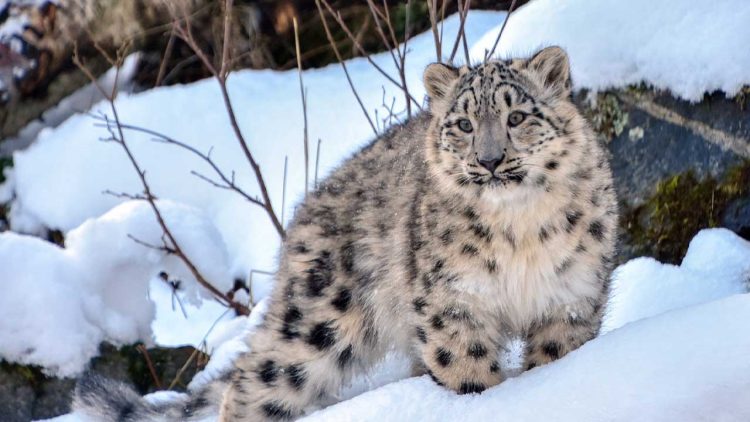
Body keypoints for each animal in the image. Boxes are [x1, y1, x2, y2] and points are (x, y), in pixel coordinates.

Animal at [75, 44, 616, 420]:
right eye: (463, 123)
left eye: (517, 116)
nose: (489, 160)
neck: (518, 232)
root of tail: (302, 213)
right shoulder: (452, 305)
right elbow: (468, 373)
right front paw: (482, 398)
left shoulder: (571, 299)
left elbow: (555, 360)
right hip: (318, 321)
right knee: (254, 381)